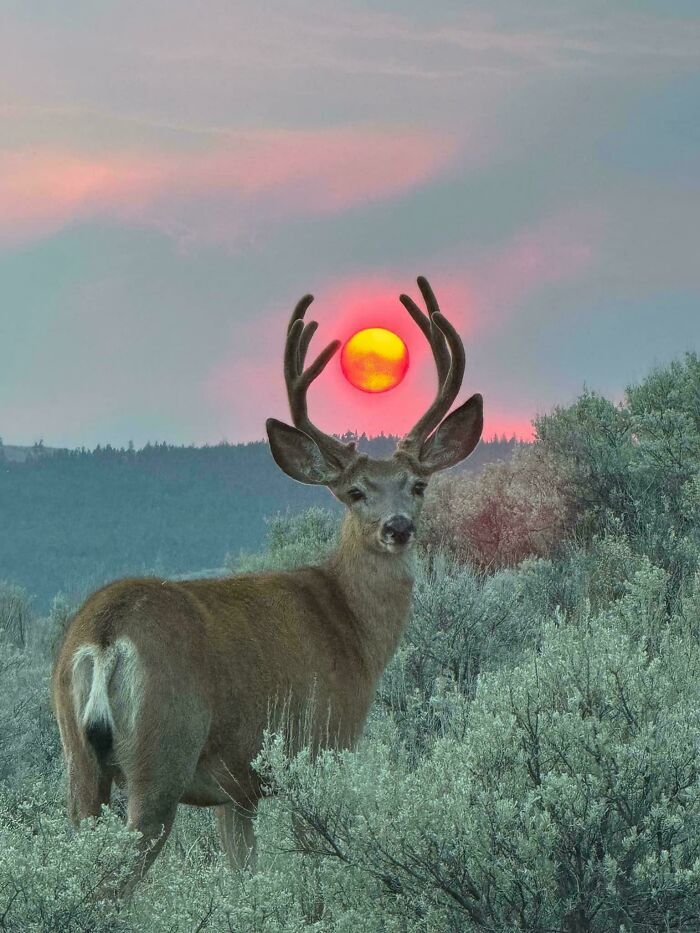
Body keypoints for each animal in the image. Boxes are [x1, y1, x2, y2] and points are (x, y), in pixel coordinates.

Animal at [51, 276, 483, 893]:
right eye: (355, 492)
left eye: (417, 484)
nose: (398, 527)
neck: (351, 628)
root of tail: (104, 637)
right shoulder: (322, 744)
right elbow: (315, 878)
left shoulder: (236, 791)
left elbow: (244, 877)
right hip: (161, 753)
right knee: (114, 881)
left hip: (79, 762)